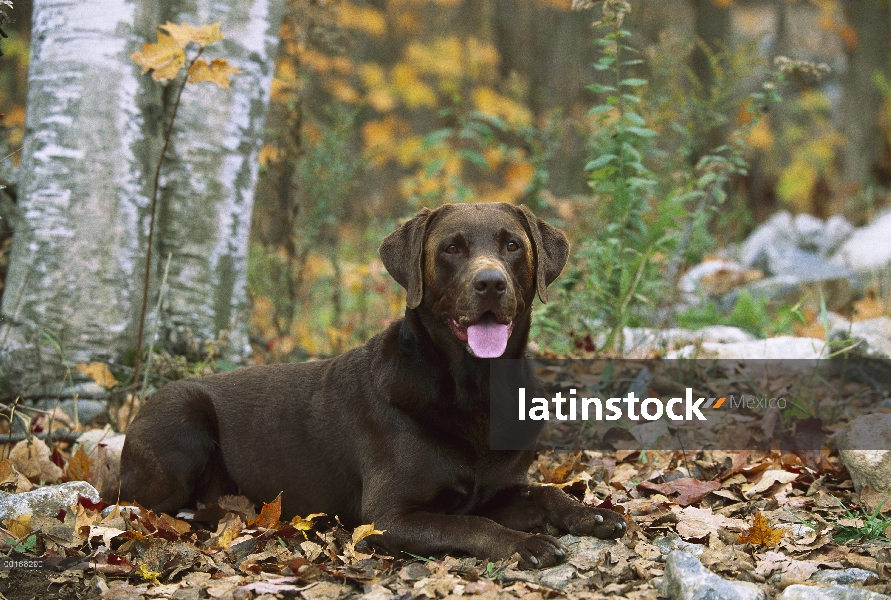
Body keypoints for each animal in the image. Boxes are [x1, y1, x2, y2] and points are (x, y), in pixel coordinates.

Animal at [118, 202, 628, 568]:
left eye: (512, 245)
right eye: (451, 249)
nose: (490, 283)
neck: (474, 391)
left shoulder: (497, 489)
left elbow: (544, 492)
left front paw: (592, 513)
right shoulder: (387, 517)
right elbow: (472, 528)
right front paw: (526, 544)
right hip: (181, 420)